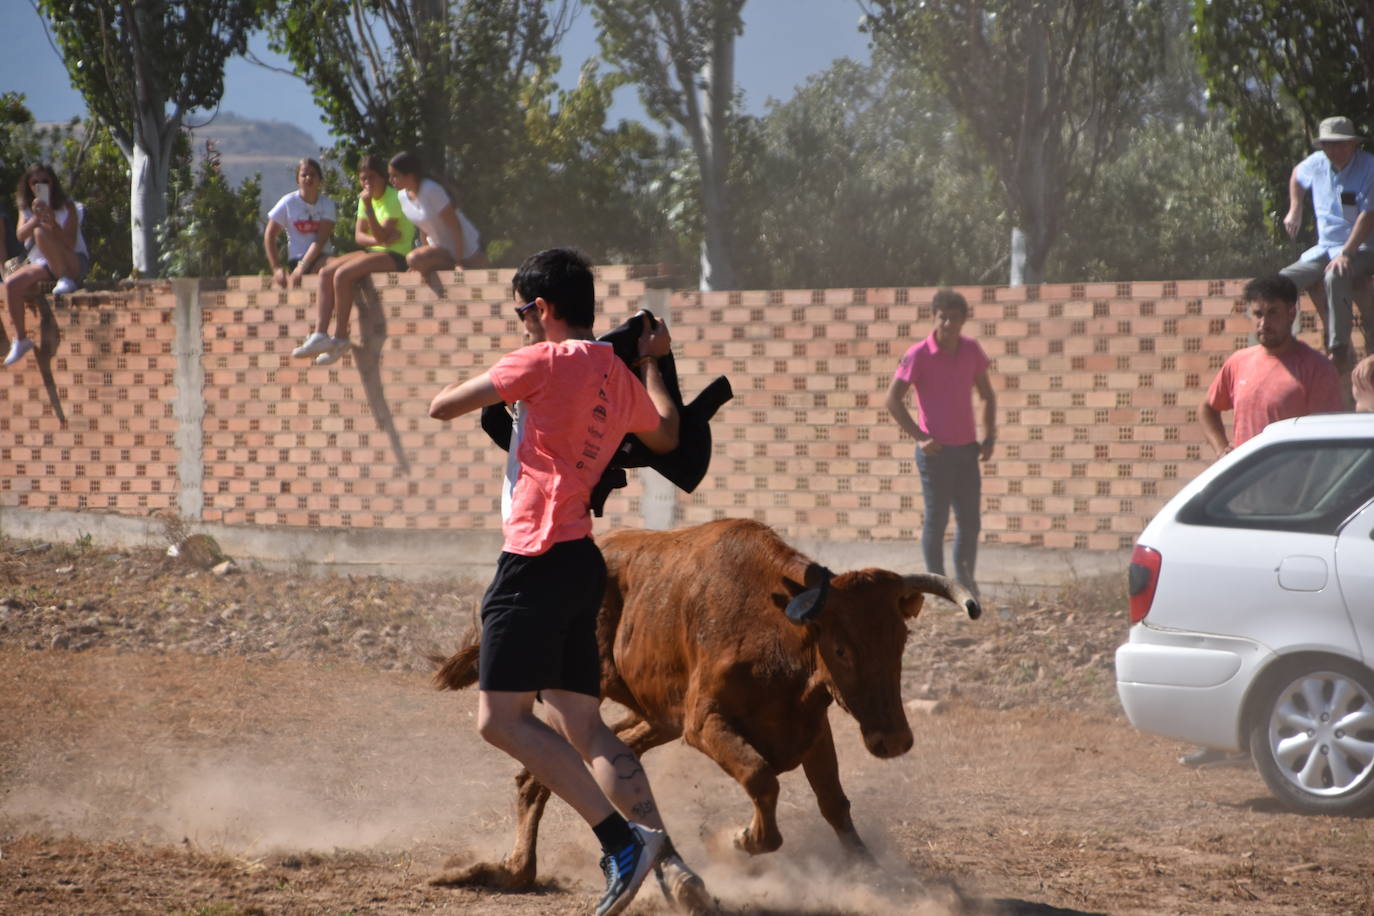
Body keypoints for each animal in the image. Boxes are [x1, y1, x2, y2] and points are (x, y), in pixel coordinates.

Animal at [428, 519, 978, 900]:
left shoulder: (812, 726)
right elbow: (760, 777)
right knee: (551, 763)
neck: (775, 630)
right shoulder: (705, 724)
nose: (894, 740)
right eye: (841, 648)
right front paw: (740, 840)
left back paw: (527, 868)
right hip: (602, 697)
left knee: (594, 758)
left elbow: (834, 802)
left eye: (899, 640)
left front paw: (870, 872)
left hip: (658, 716)